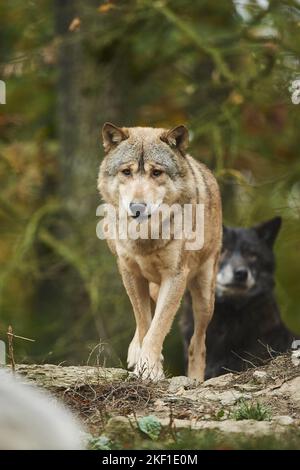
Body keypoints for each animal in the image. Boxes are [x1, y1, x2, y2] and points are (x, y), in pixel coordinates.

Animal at [97, 123, 221, 380]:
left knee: (198, 342)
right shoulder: (130, 273)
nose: (137, 207)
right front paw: (142, 362)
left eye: (156, 173)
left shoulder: (175, 277)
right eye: (127, 172)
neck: (146, 236)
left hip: (205, 298)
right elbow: (145, 322)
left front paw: (150, 369)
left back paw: (195, 377)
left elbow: (159, 326)